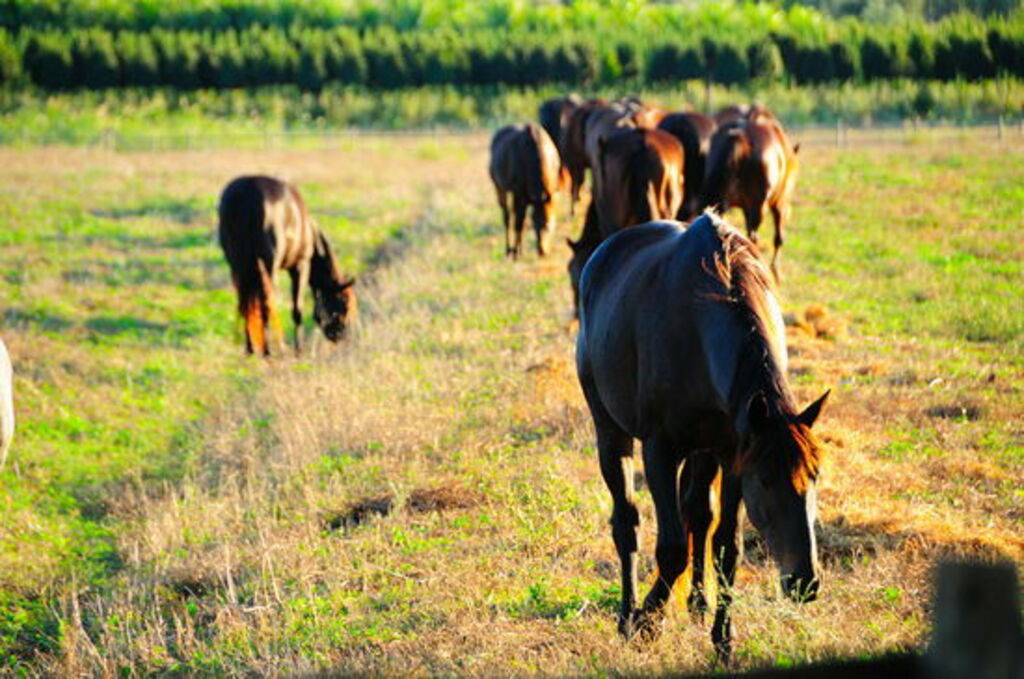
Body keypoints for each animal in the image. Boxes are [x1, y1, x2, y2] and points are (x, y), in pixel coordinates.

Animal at [218, 175, 357, 356]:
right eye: (344, 303)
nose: (341, 335)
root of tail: (246, 194)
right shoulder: (300, 266)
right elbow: (297, 309)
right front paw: (299, 350)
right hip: (268, 267)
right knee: (265, 303)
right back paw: (269, 350)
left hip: (238, 266)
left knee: (245, 304)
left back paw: (251, 348)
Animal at [489, 123, 562, 260]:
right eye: (534, 225)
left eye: (548, 225)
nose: (542, 251)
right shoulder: (519, 193)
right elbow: (519, 223)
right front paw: (516, 252)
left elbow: (521, 222)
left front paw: (519, 250)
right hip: (499, 186)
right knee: (507, 216)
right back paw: (508, 249)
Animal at [575, 213, 829, 662]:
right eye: (767, 481)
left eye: (815, 476)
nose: (805, 582)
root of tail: (601, 256)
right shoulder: (660, 449)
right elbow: (672, 547)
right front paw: (646, 622)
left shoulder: (734, 452)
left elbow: (726, 547)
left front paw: (723, 638)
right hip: (611, 430)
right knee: (626, 522)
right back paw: (626, 613)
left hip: (704, 450)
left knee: (698, 514)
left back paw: (697, 603)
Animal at [702, 106, 800, 279]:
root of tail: (739, 139)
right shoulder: (777, 203)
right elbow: (778, 237)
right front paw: (776, 272)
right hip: (758, 206)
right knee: (754, 238)